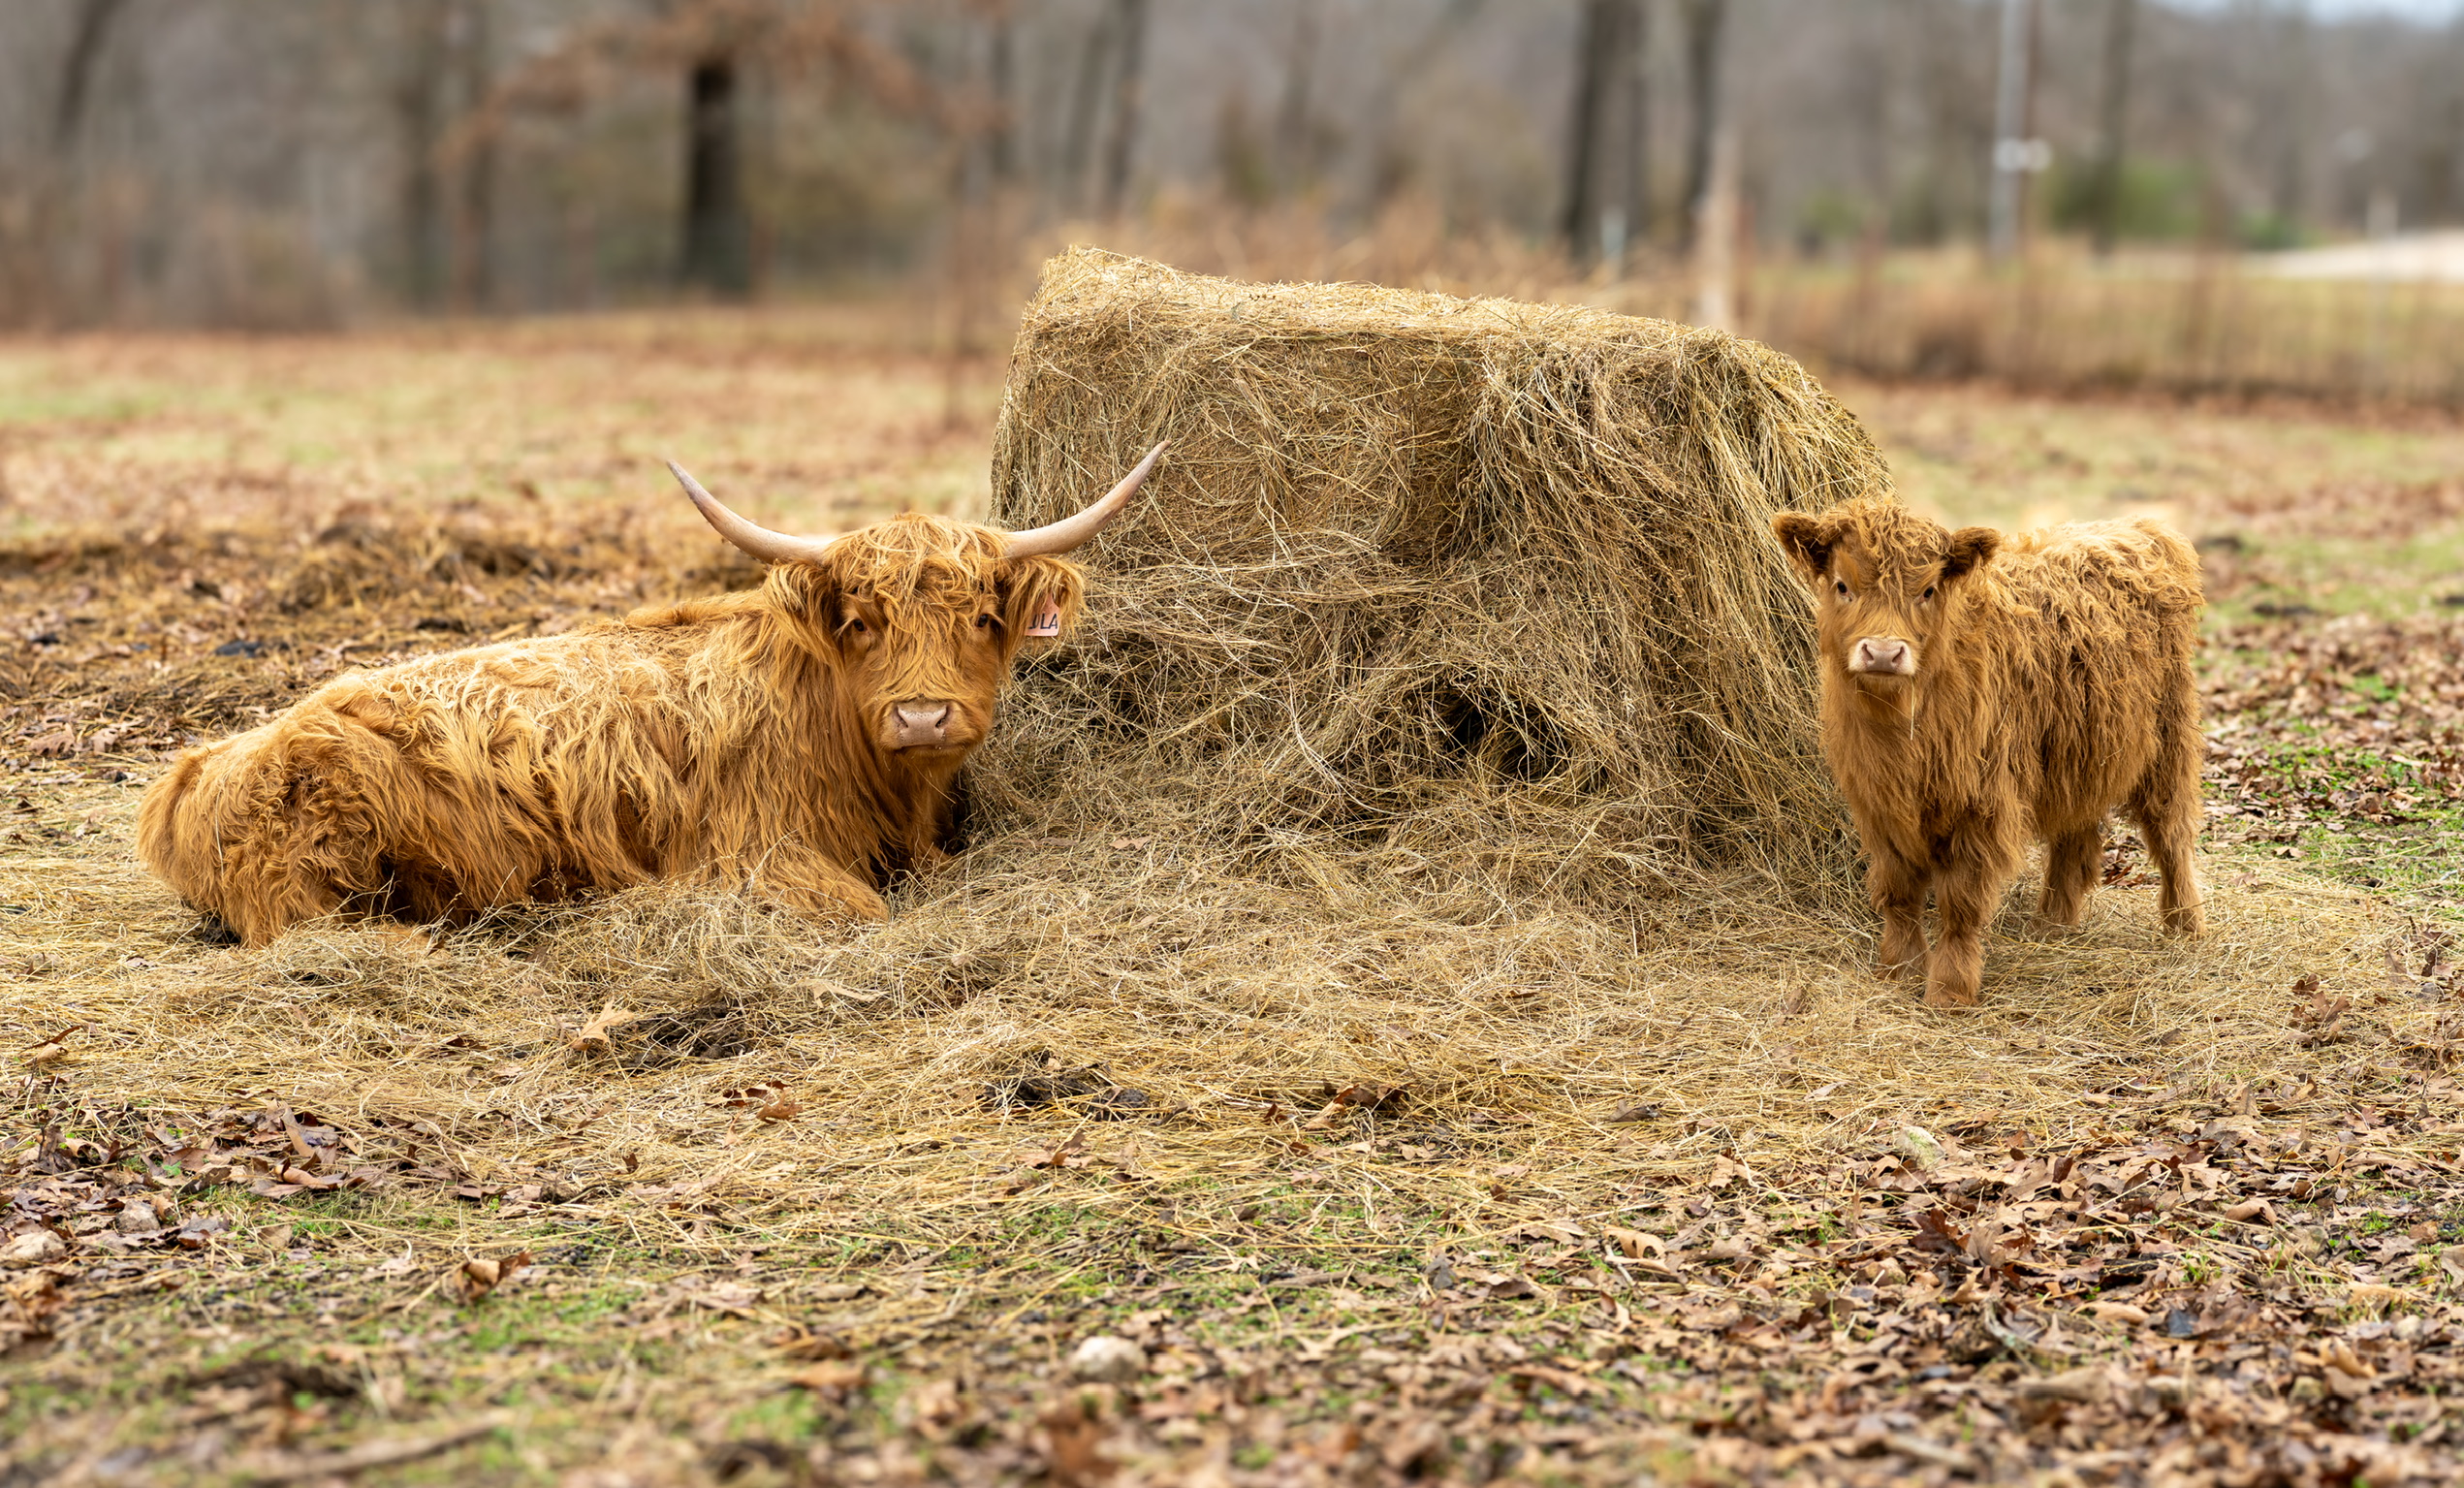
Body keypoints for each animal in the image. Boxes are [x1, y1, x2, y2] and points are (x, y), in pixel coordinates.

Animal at [136, 443, 1168, 947]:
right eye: (861, 620)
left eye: (984, 618)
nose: (921, 715)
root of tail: (197, 766)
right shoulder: (755, 853)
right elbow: (867, 912)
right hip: (317, 867)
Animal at [1769, 497, 2205, 1007]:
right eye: (1843, 585)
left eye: (1928, 590)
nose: (1882, 653)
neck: (1902, 739)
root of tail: (2138, 527)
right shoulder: (1878, 807)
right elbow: (1898, 894)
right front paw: (1898, 970)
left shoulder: (1980, 804)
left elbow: (1961, 902)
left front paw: (1950, 990)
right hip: (2074, 751)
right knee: (2075, 834)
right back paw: (2052, 924)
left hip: (2168, 740)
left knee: (2171, 832)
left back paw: (2185, 925)